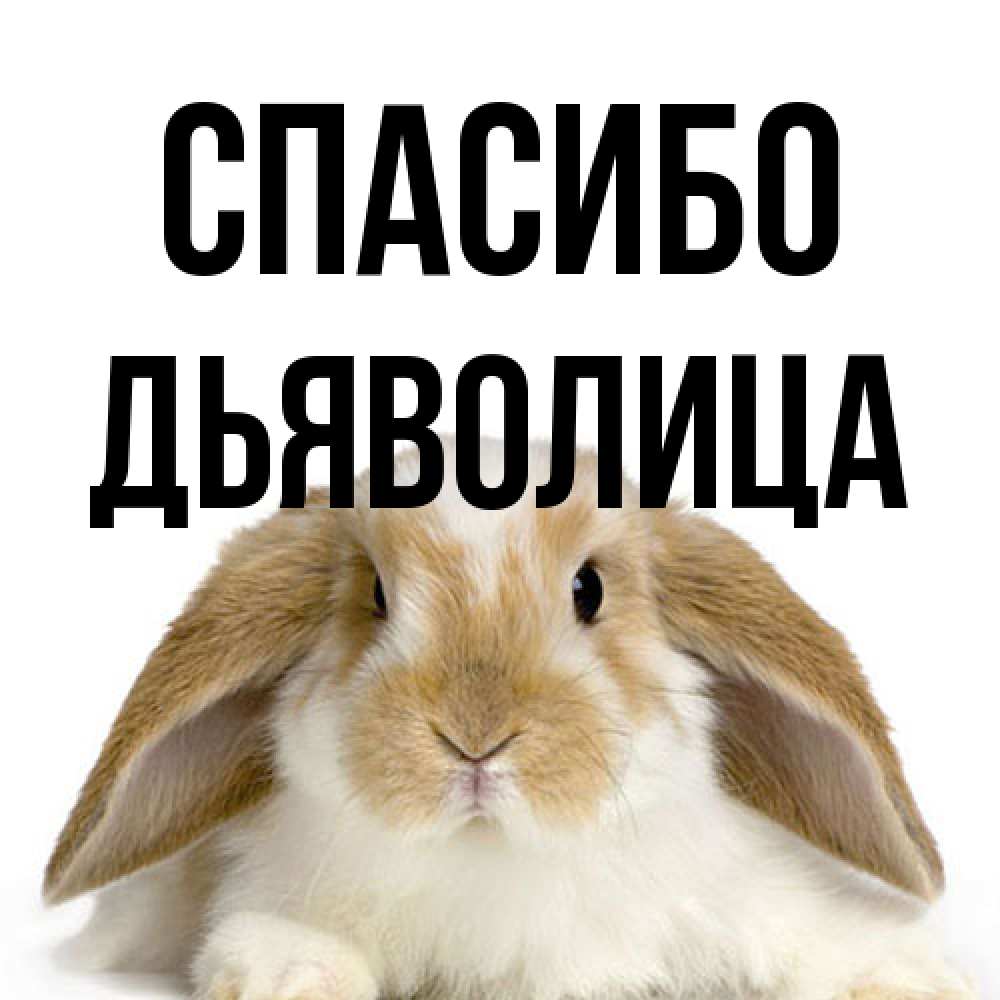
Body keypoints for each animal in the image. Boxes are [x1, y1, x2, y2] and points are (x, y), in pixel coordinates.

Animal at [45, 438, 975, 1000]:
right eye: (375, 596)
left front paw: (909, 978)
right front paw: (290, 977)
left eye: (589, 589)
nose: (475, 737)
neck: (495, 857)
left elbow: (819, 940)